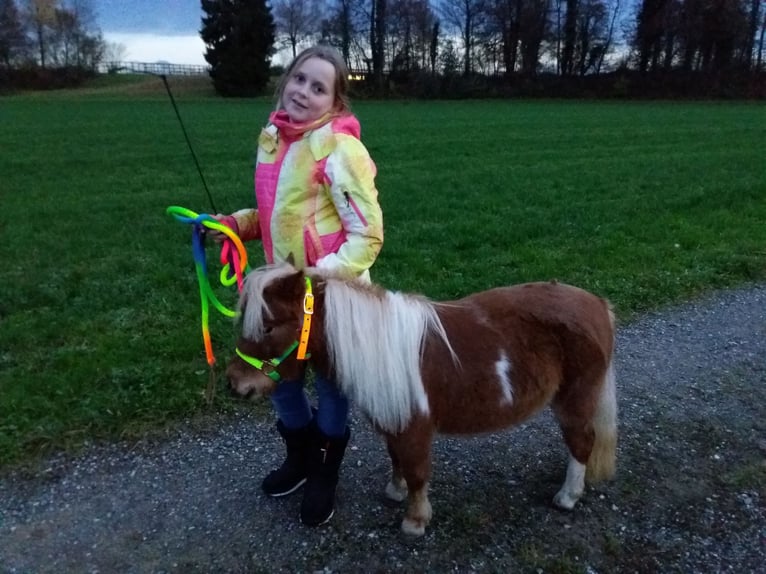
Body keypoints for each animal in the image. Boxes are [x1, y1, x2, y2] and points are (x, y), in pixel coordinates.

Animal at [226, 262, 617, 536]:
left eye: (269, 326)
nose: (235, 384)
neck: (380, 347)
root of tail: (597, 304)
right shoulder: (394, 420)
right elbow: (396, 458)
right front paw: (395, 492)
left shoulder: (415, 427)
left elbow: (416, 471)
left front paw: (414, 521)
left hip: (574, 399)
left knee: (582, 442)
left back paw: (567, 497)